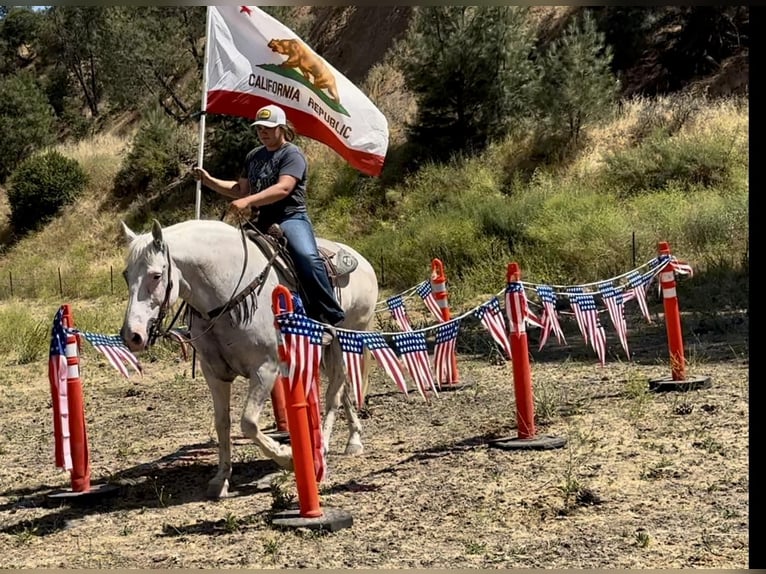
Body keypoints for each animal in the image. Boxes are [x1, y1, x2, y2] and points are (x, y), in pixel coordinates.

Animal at [119, 220, 378, 500]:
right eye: (126, 275)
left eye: (156, 275)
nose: (132, 336)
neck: (227, 290)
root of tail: (363, 261)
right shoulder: (215, 374)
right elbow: (222, 423)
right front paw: (221, 479)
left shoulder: (265, 369)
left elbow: (249, 423)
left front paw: (287, 457)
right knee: (342, 390)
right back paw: (353, 439)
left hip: (346, 339)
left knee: (333, 395)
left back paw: (324, 450)